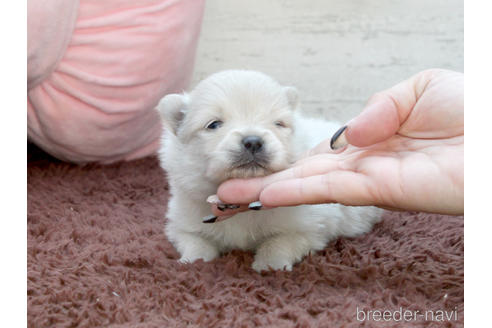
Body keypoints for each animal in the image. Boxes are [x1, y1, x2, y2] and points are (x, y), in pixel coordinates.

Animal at [156, 70, 382, 272]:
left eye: (278, 123)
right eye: (214, 124)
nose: (253, 141)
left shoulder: (307, 228)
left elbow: (280, 242)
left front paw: (269, 265)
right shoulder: (182, 223)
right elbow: (195, 242)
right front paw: (193, 262)